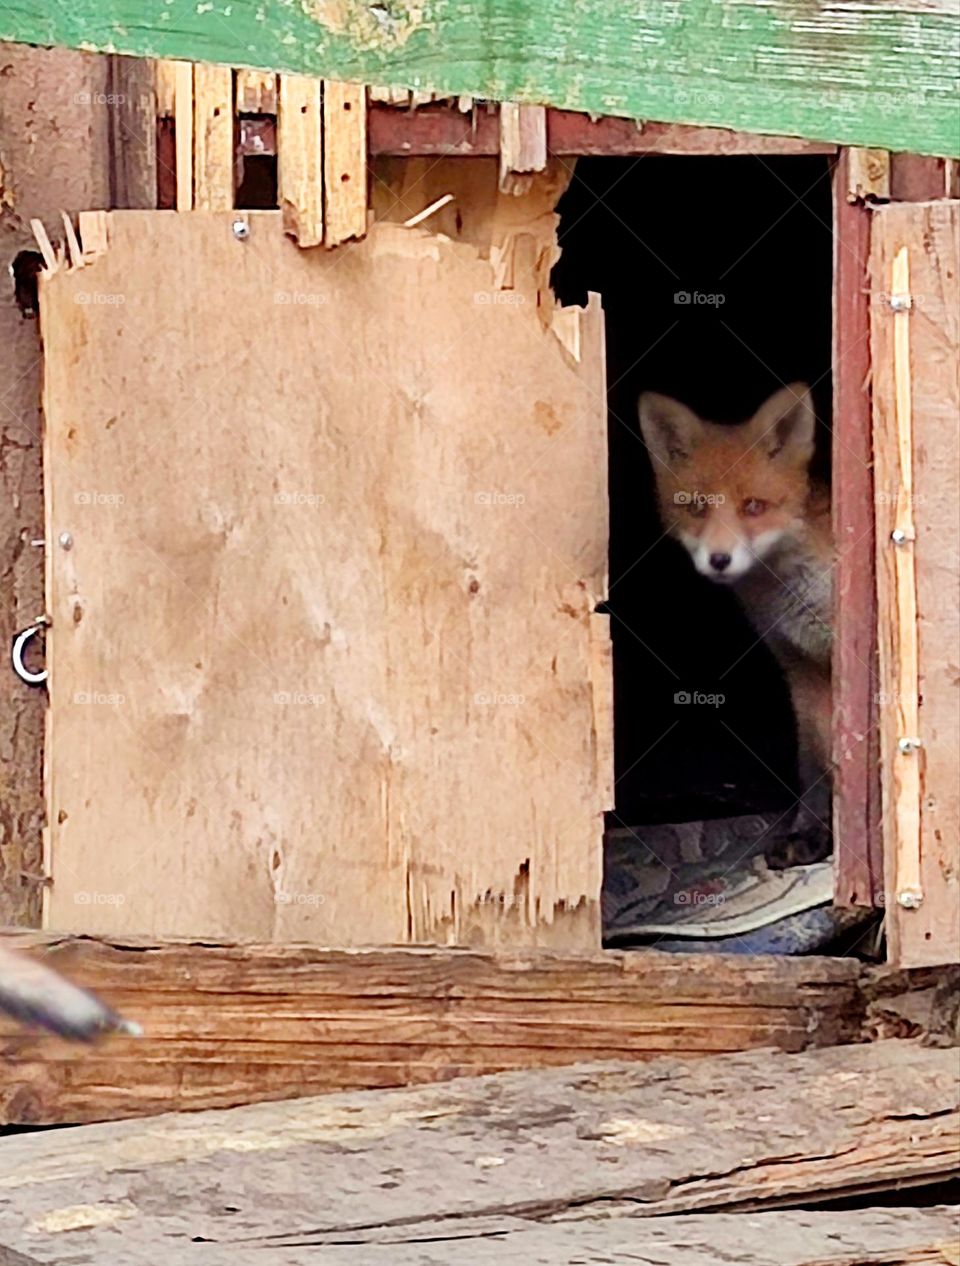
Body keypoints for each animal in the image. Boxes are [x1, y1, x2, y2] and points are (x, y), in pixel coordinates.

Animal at [638, 383, 833, 864]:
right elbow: (815, 764)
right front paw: (810, 833)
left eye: (753, 507)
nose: (719, 559)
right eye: (695, 509)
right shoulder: (798, 665)